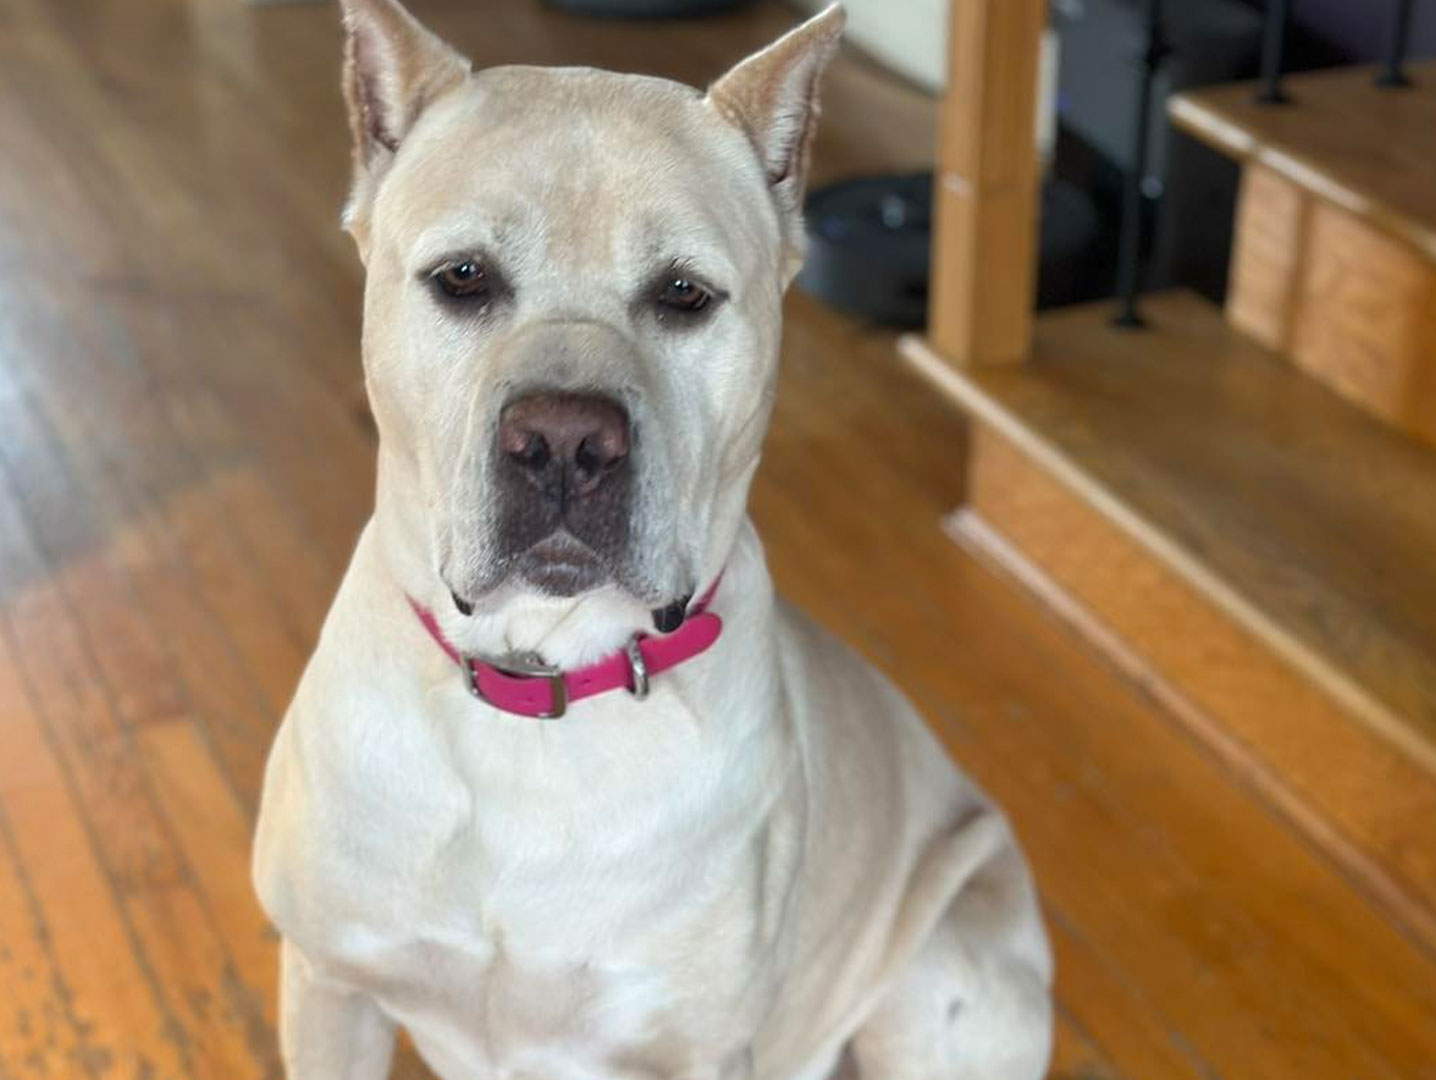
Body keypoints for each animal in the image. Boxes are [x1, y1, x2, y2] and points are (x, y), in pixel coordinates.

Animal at [251, 2, 1053, 1077]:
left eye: (683, 295)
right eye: (462, 278)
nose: (562, 441)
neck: (540, 689)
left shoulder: (696, 1050)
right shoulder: (328, 985)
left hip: (937, 975)